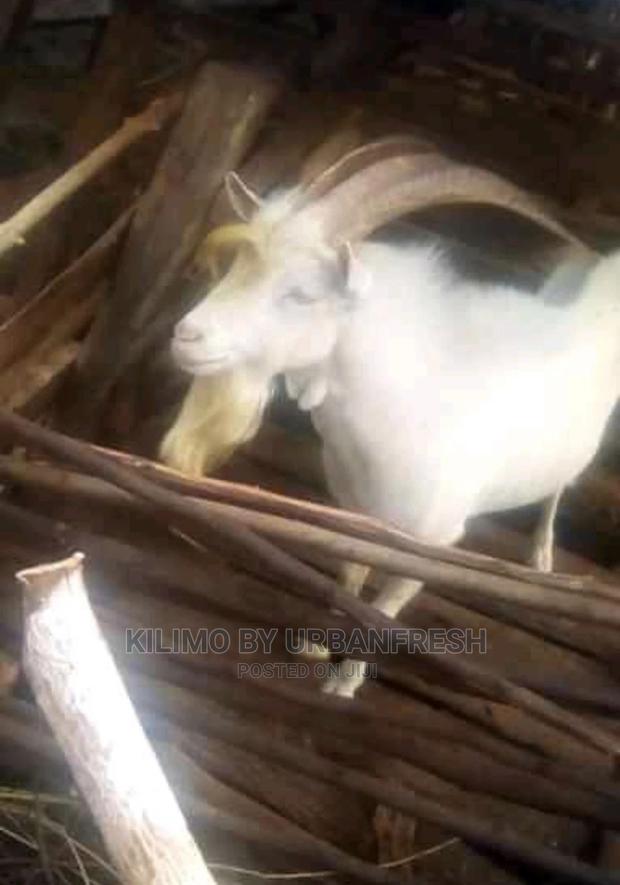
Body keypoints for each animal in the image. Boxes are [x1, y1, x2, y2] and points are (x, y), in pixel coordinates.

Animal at [162, 140, 610, 697]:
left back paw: (543, 558)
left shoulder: (435, 544)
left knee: (558, 489)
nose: (187, 335)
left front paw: (343, 684)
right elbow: (351, 575)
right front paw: (317, 647)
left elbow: (386, 611)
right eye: (239, 262)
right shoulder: (354, 512)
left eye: (302, 294)